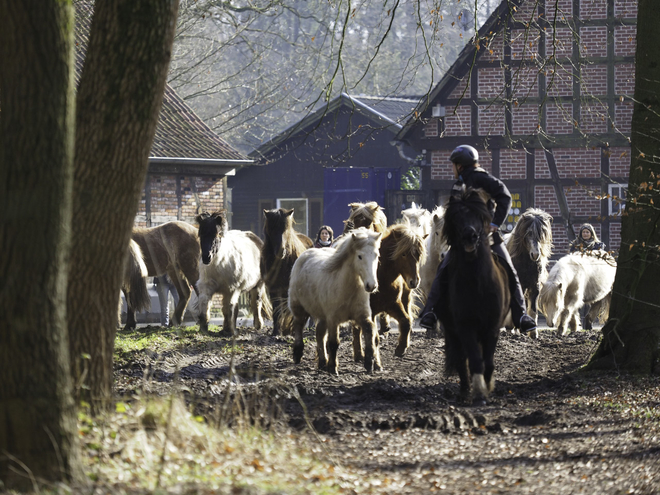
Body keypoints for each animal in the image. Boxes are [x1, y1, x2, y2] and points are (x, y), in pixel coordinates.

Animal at [288, 229, 382, 376]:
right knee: (298, 327)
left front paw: (369, 363)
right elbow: (333, 343)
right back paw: (298, 354)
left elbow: (370, 331)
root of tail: (304, 256)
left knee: (320, 335)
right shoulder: (333, 319)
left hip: (322, 316)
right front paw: (333, 368)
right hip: (299, 309)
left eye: (376, 255)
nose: (371, 285)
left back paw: (322, 362)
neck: (347, 288)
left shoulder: (362, 316)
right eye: (360, 256)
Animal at [350, 223, 428, 362]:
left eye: (419, 255)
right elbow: (370, 334)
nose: (414, 281)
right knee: (357, 328)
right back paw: (359, 354)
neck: (382, 275)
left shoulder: (393, 304)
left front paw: (401, 348)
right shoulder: (371, 310)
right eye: (403, 254)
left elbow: (406, 321)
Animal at [438, 188, 510, 404]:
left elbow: (488, 361)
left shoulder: (492, 327)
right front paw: (479, 393)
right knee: (462, 359)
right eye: (456, 217)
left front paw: (487, 386)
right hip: (452, 331)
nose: (470, 236)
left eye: (479, 215)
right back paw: (464, 390)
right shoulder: (465, 326)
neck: (477, 283)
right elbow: (475, 360)